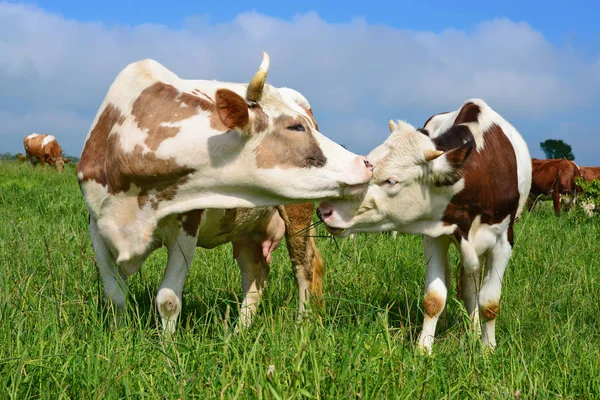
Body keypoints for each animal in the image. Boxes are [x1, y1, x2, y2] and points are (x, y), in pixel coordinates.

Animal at [316, 99, 532, 350]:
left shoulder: (503, 241)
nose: (324, 210)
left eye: (391, 181)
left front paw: (488, 349)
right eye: (368, 164)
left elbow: (489, 302)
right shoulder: (434, 236)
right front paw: (424, 349)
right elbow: (435, 298)